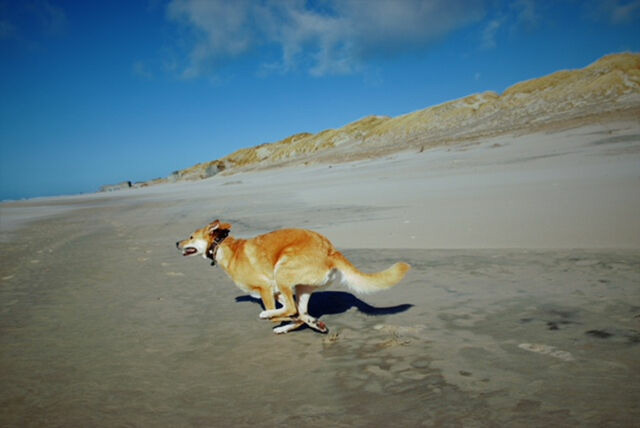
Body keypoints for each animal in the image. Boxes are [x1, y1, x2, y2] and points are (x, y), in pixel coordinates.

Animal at [175, 221, 410, 334]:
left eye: (191, 237)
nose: (176, 243)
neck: (224, 247)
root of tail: (330, 250)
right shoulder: (277, 291)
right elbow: (297, 314)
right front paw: (312, 322)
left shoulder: (266, 289)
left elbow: (285, 312)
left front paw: (270, 315)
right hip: (300, 287)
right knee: (298, 311)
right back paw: (300, 325)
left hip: (283, 271)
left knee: (290, 310)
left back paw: (273, 318)